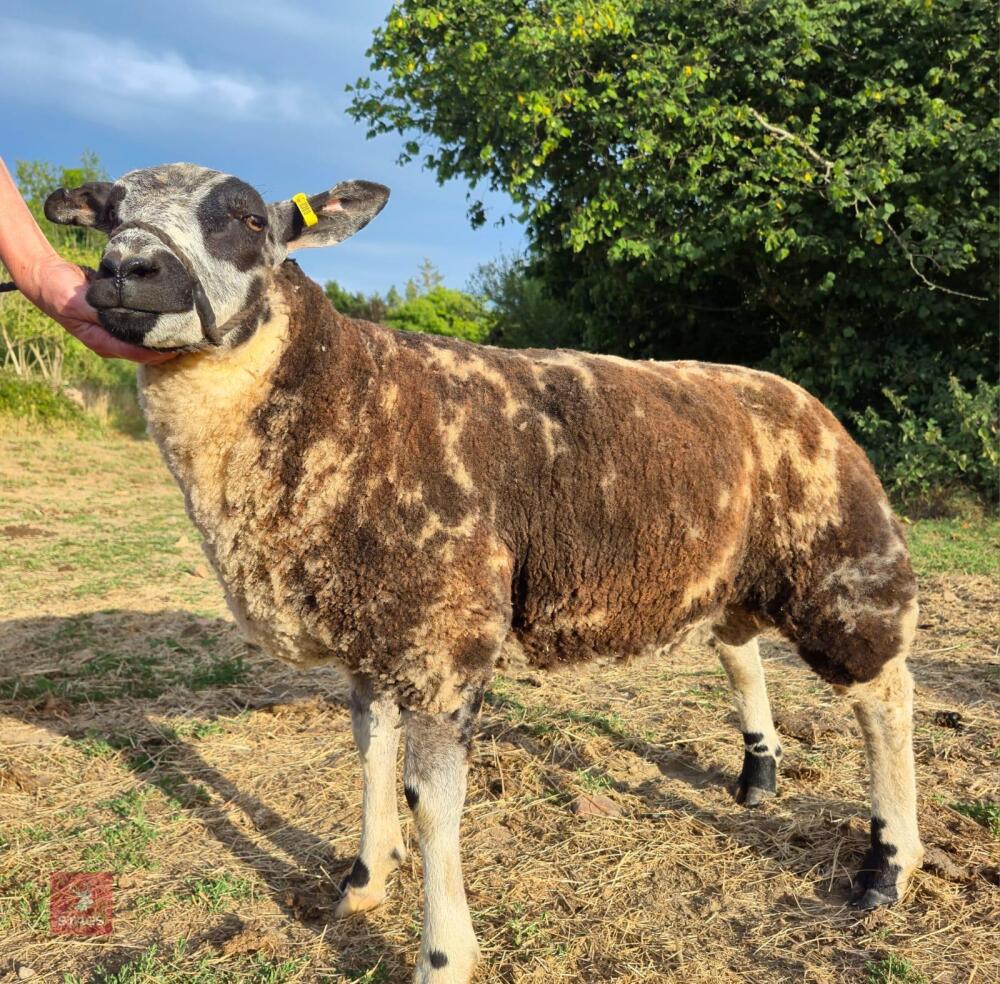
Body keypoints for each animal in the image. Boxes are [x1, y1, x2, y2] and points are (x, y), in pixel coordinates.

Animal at [45, 163, 923, 984]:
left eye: (249, 218)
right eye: (110, 214)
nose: (125, 270)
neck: (350, 397)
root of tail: (803, 398)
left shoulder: (444, 629)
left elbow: (433, 801)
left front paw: (442, 955)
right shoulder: (370, 631)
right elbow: (371, 758)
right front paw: (363, 884)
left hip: (842, 563)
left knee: (886, 693)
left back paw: (888, 866)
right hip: (727, 570)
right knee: (741, 650)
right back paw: (758, 778)